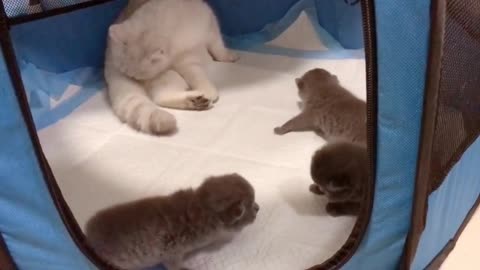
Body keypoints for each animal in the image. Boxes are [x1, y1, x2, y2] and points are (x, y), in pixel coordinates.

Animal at [85, 173, 258, 270]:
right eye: (250, 206)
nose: (258, 208)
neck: (201, 208)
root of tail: (89, 238)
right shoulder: (173, 252)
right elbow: (172, 265)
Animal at [106, 0, 239, 135]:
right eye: (131, 75)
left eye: (135, 76)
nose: (134, 79)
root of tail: (108, 59)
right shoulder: (184, 61)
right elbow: (197, 75)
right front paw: (208, 90)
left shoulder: (209, 24)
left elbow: (218, 46)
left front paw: (227, 56)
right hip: (169, 75)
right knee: (160, 97)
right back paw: (196, 100)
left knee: (160, 96)